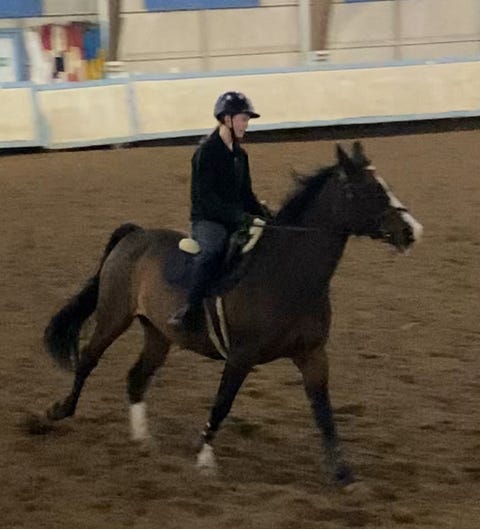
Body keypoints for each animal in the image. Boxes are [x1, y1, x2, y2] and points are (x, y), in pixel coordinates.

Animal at [41, 141, 423, 485]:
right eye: (368, 190)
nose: (412, 231)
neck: (287, 274)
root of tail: (135, 235)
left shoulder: (312, 354)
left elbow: (324, 412)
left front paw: (342, 473)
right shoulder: (241, 356)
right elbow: (222, 403)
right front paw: (204, 458)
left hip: (158, 333)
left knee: (137, 377)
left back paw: (143, 441)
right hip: (113, 316)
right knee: (88, 359)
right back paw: (58, 412)